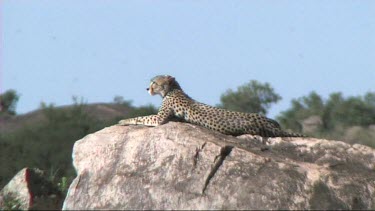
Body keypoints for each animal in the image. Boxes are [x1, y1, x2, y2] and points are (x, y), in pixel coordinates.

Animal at [119, 75, 306, 138]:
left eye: (154, 82)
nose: (147, 88)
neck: (173, 89)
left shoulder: (160, 119)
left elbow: (142, 117)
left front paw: (123, 120)